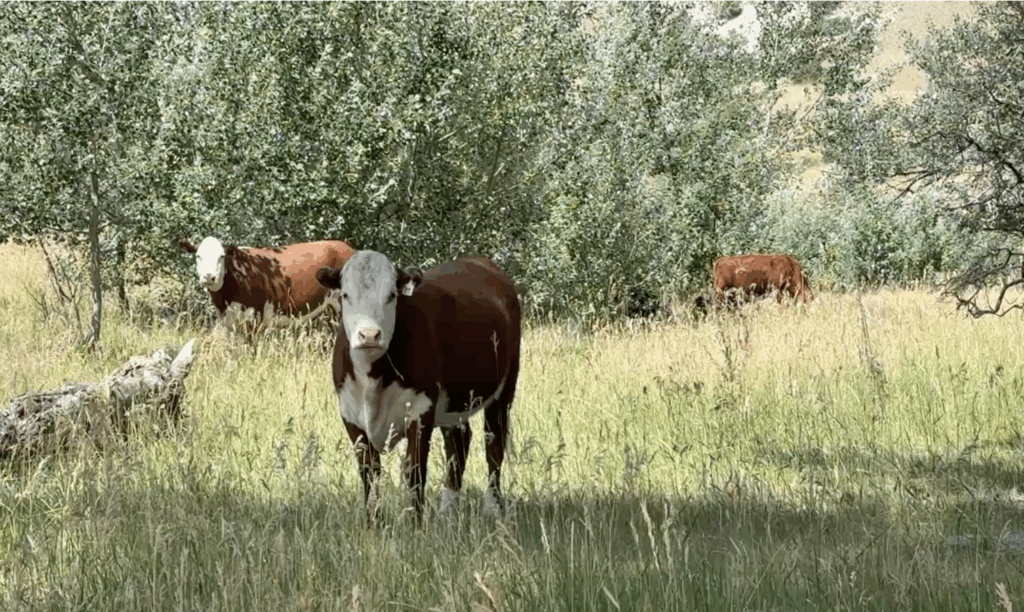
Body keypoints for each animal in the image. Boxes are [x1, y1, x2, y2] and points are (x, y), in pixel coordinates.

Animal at [177, 236, 355, 328]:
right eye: (198, 256)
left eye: (221, 256)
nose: (209, 276)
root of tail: (345, 246)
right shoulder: (227, 321)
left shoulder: (254, 317)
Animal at [315, 250, 522, 526]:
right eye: (346, 294)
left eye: (391, 295)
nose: (369, 335)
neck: (372, 380)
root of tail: (479, 261)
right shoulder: (350, 415)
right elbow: (369, 473)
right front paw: (373, 524)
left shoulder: (421, 411)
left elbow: (414, 470)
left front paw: (416, 524)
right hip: (453, 402)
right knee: (459, 442)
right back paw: (448, 509)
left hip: (504, 390)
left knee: (494, 443)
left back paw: (492, 508)